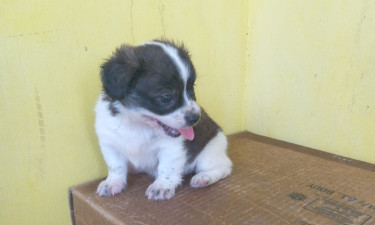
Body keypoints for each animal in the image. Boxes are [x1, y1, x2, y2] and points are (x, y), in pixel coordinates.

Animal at [94, 40, 232, 200]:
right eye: (166, 97)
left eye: (191, 89)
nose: (195, 118)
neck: (138, 125)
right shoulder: (110, 144)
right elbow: (115, 166)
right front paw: (113, 183)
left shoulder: (171, 148)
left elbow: (166, 168)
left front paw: (161, 186)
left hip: (208, 154)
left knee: (225, 167)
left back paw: (204, 177)